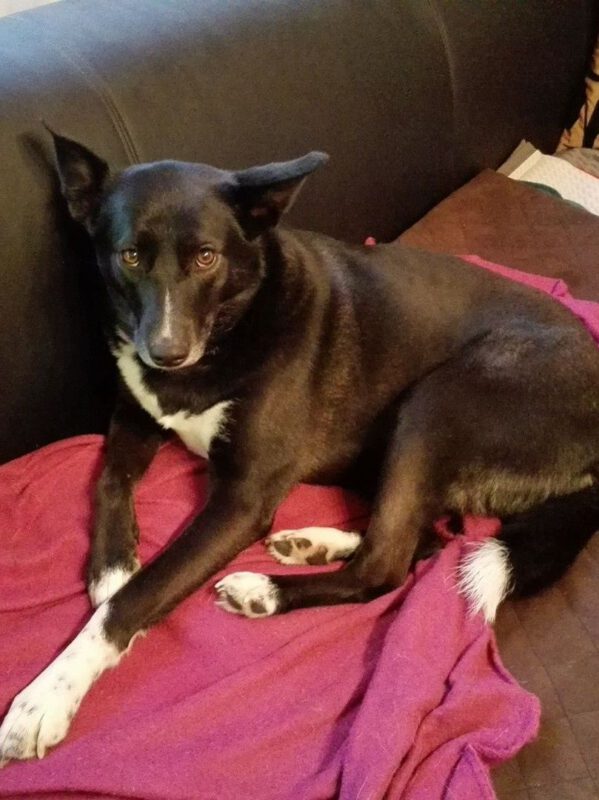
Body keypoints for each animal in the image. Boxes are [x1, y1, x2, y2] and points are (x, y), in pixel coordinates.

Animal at [1, 131, 598, 764]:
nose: (164, 352)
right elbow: (110, 481)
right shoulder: (135, 414)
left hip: (438, 401)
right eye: (130, 256)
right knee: (428, 538)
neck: (231, 327)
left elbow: (137, 597)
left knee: (386, 564)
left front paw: (46, 697)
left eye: (207, 257)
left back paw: (264, 589)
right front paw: (114, 564)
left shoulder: (241, 500)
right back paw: (313, 543)